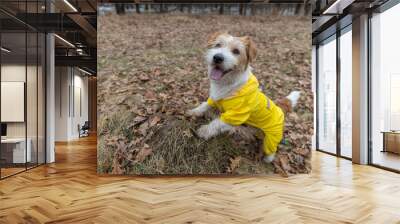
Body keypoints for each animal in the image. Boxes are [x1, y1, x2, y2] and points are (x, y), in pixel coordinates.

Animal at [188, 32, 300, 163]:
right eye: (218, 45)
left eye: (236, 51)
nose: (217, 57)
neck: (229, 84)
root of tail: (279, 109)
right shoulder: (215, 98)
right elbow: (204, 105)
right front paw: (194, 112)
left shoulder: (237, 114)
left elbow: (217, 123)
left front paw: (204, 131)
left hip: (272, 137)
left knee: (272, 150)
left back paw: (267, 159)